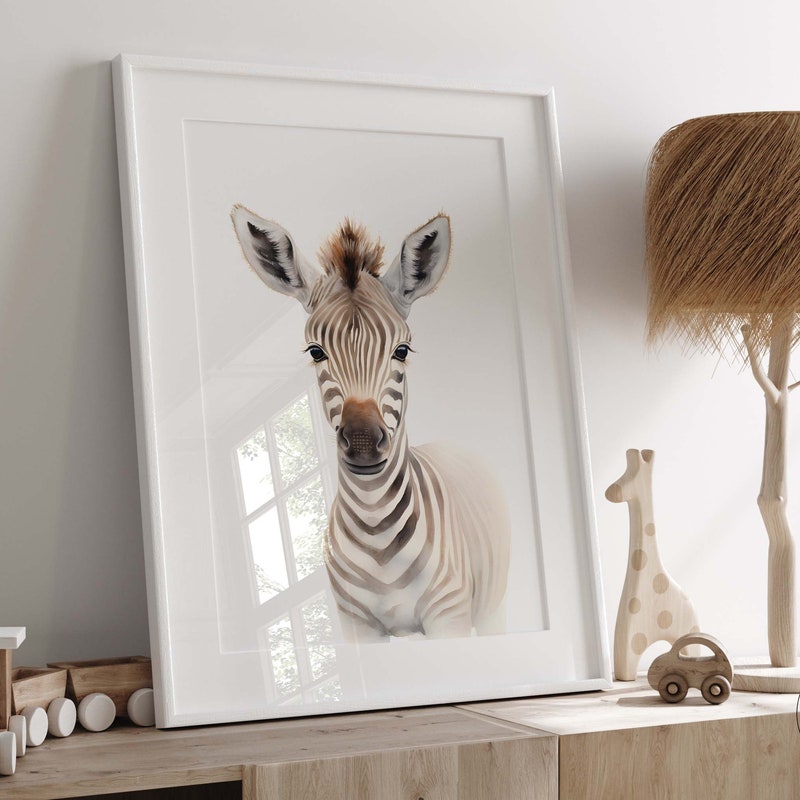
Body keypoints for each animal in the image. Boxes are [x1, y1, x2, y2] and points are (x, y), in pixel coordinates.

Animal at [232, 206, 511, 641]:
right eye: (315, 352)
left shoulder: (449, 615)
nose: (363, 442)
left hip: (492, 607)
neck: (375, 523)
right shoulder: (355, 626)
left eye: (402, 350)